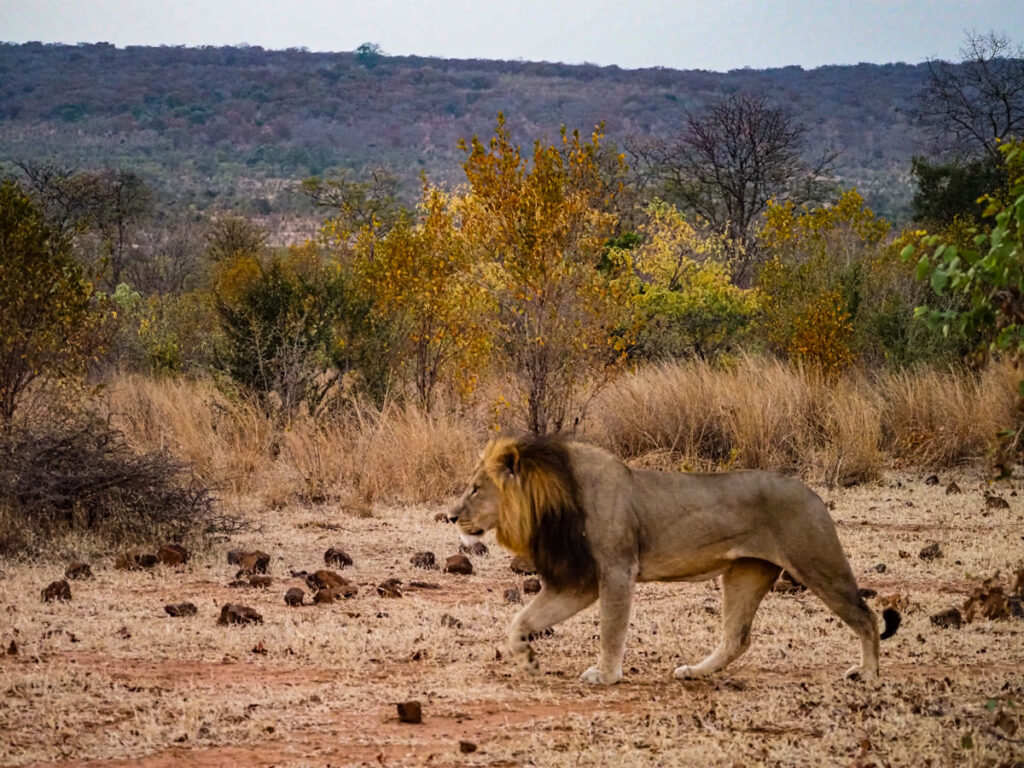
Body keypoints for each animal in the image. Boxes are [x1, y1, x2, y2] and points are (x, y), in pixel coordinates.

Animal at [446, 434, 897, 684]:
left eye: (475, 488)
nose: (450, 516)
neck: (549, 499)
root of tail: (812, 492)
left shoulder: (616, 571)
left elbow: (611, 630)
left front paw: (606, 676)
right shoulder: (581, 581)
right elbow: (521, 620)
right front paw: (526, 658)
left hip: (818, 562)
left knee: (865, 616)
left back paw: (868, 674)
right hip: (745, 574)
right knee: (736, 638)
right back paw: (695, 672)